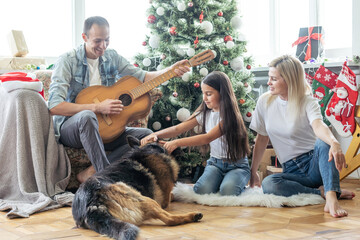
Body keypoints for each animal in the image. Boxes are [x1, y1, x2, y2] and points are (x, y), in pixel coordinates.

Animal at [71, 135, 202, 240]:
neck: (149, 148)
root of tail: (91, 204)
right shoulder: (166, 199)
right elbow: (173, 195)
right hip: (146, 200)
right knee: (169, 219)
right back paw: (193, 215)